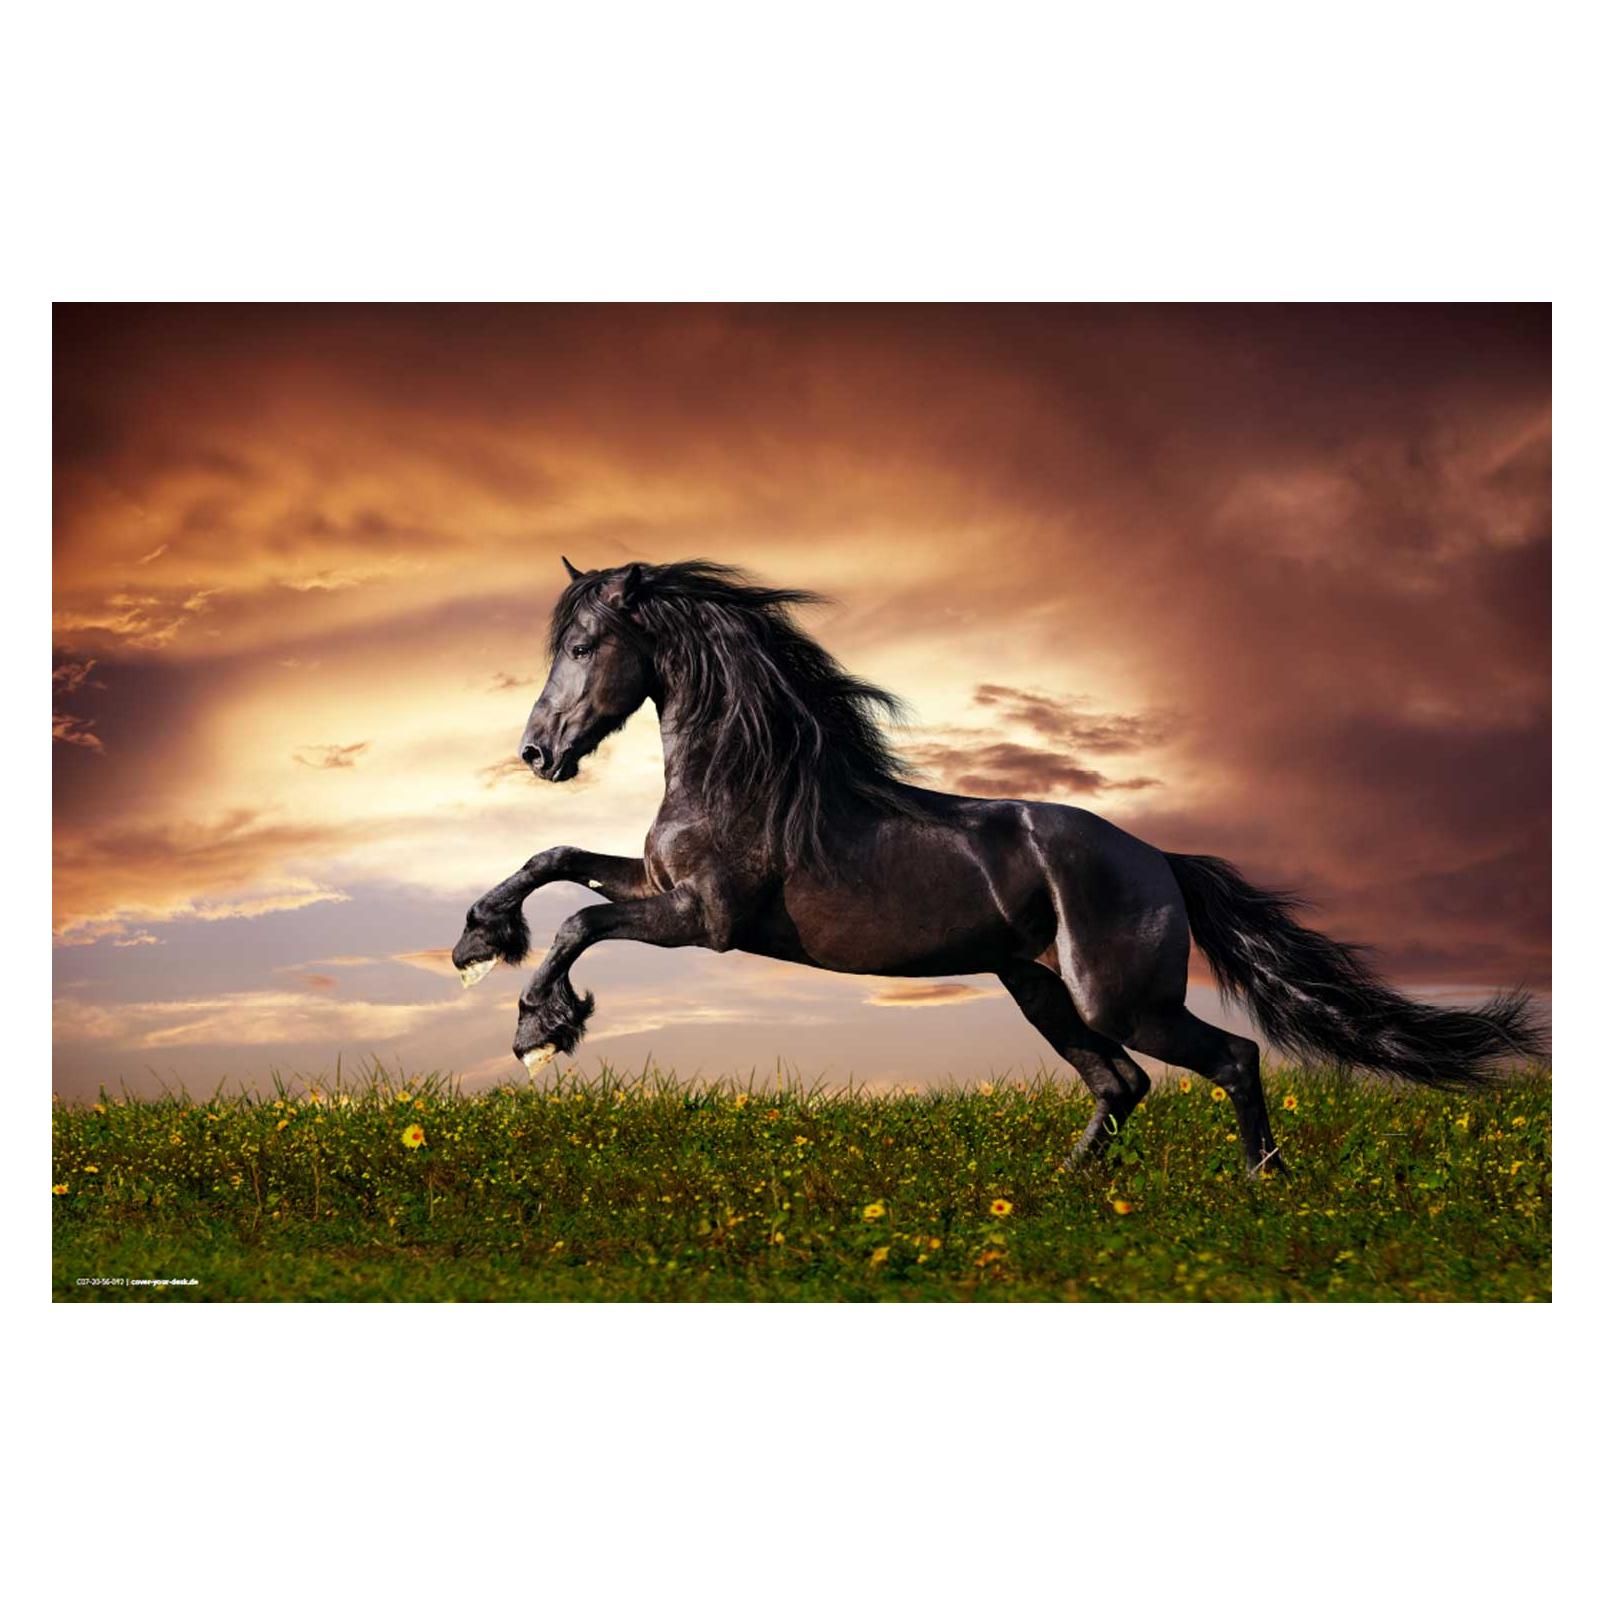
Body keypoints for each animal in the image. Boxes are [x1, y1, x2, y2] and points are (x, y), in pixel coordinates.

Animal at [451, 558, 1544, 1173]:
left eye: (586, 644)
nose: (538, 753)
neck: (746, 776)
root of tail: (1162, 860)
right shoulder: (662, 887)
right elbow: (555, 860)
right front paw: (477, 940)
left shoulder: (705, 920)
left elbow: (580, 921)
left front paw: (539, 1026)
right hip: (1037, 987)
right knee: (1120, 1086)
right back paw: (1060, 1194)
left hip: (1117, 996)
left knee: (1226, 1058)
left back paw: (1260, 1185)